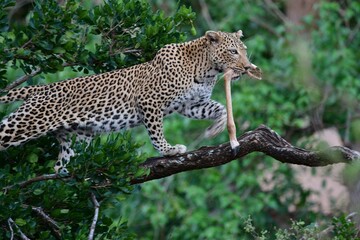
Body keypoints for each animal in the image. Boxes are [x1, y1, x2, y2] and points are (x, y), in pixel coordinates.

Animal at [0, 30, 260, 173]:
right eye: (233, 52)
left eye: (245, 50)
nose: (249, 67)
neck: (207, 69)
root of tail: (43, 87)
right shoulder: (149, 101)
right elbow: (156, 132)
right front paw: (168, 150)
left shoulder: (191, 105)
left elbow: (218, 108)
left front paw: (217, 127)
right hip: (26, 123)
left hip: (76, 140)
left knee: (60, 165)